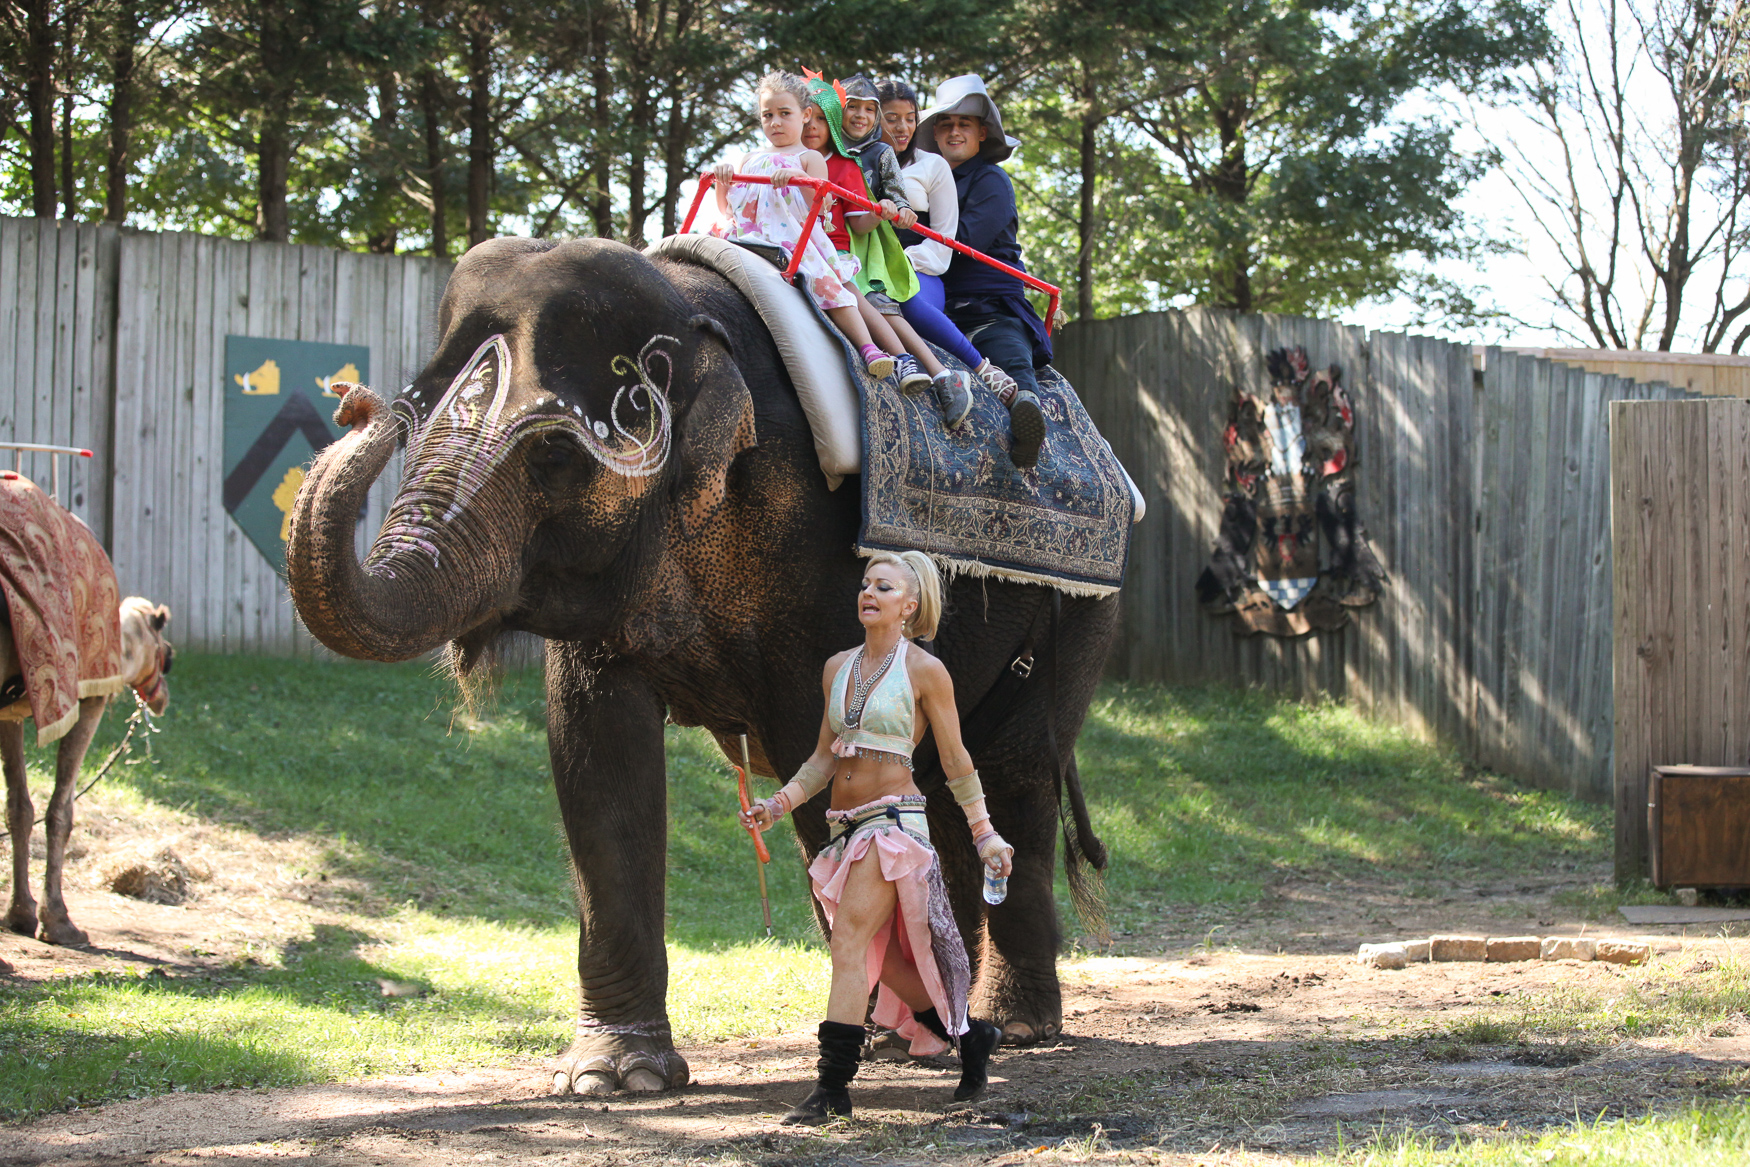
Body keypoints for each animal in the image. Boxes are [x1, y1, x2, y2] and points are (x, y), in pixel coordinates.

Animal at [280, 237, 1113, 1098]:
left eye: (553, 451)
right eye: (414, 422)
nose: (352, 403)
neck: (687, 312)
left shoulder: (819, 552)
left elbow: (821, 760)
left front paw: (875, 1031)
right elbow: (597, 754)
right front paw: (613, 1078)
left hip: (1078, 616)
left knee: (1011, 772)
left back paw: (1011, 1028)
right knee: (948, 785)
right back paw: (949, 1025)